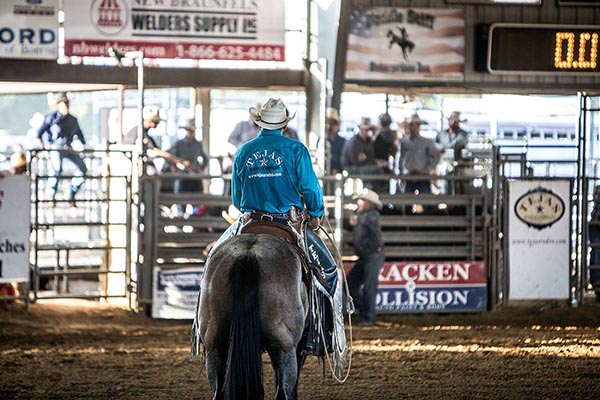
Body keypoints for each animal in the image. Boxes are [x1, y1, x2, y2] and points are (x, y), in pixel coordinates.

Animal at [197, 233, 310, 398]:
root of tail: (247, 255)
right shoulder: (299, 347)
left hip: (215, 345)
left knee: (218, 390)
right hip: (284, 347)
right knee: (283, 391)